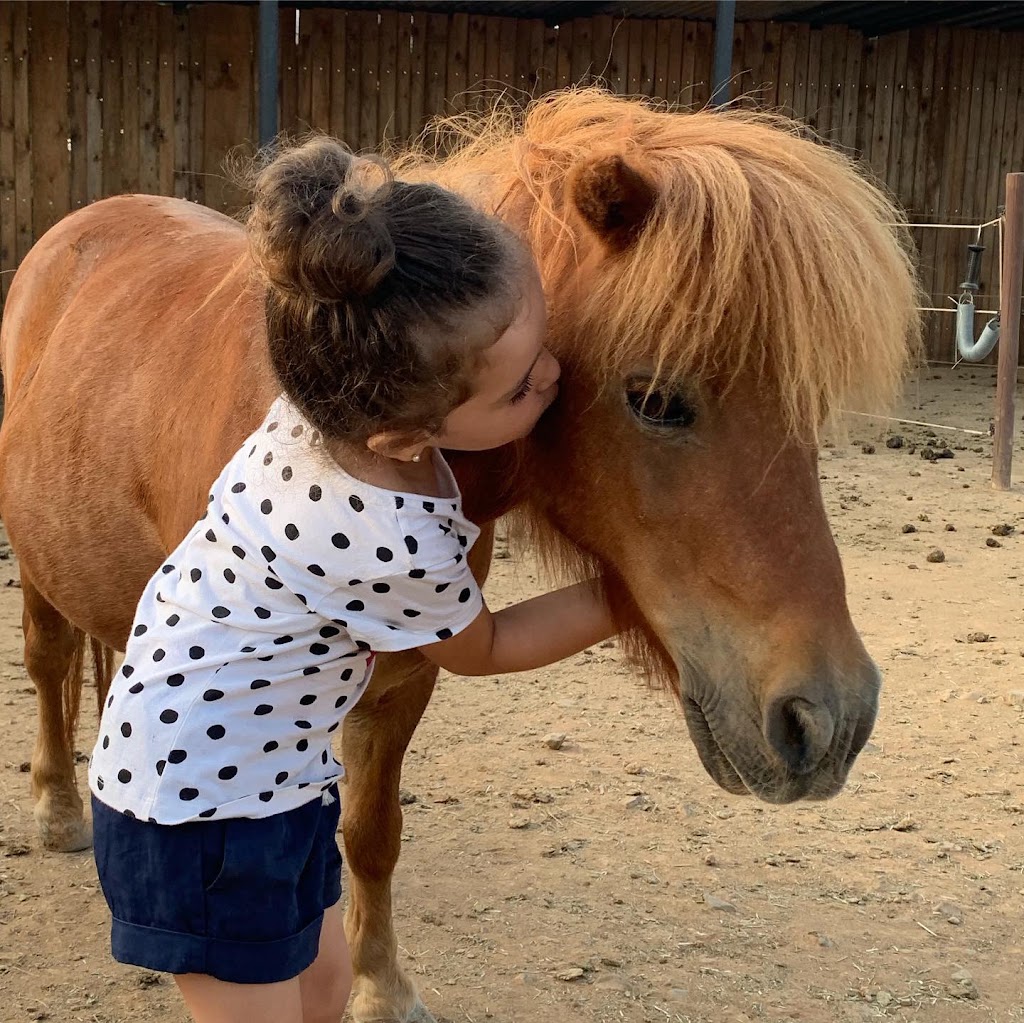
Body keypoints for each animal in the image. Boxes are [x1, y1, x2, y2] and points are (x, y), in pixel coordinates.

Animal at [0, 89, 917, 1023]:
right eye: (656, 399)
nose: (831, 720)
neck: (354, 441)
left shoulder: (404, 684)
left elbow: (372, 836)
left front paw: (381, 985)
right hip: (35, 564)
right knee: (48, 660)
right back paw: (59, 808)